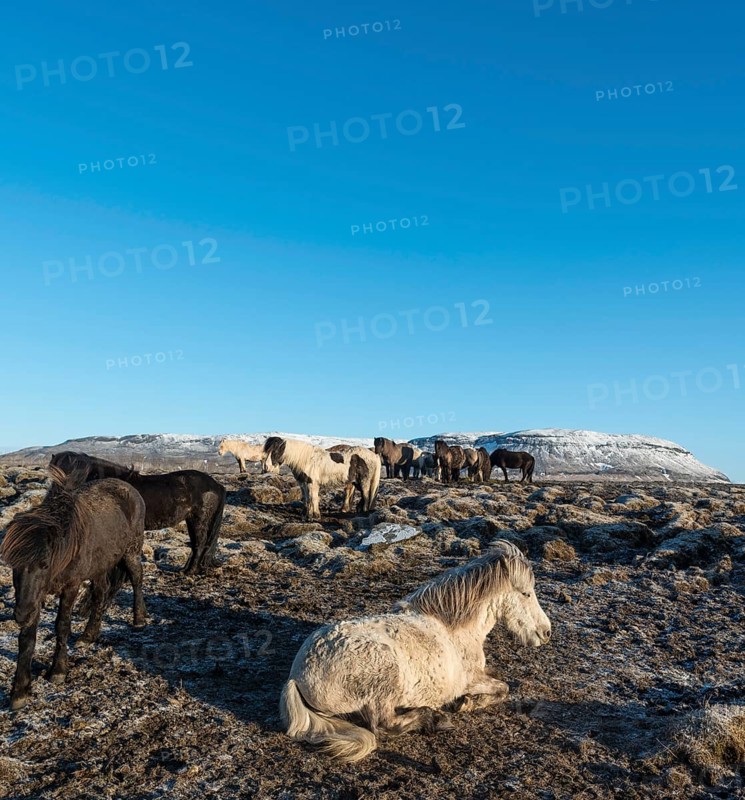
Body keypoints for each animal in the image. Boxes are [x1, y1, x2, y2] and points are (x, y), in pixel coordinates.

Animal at [1, 465, 147, 711]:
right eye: (13, 566)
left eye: (44, 564)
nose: (20, 615)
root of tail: (130, 488)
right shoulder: (34, 598)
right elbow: (27, 639)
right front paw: (20, 691)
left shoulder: (71, 586)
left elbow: (62, 625)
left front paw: (58, 671)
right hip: (100, 566)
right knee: (100, 594)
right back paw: (89, 635)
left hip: (130, 552)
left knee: (136, 578)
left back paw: (139, 618)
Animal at [49, 452, 226, 574]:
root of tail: (216, 485)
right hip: (191, 520)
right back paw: (186, 569)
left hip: (199, 520)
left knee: (200, 544)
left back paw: (190, 571)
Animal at [280, 540, 551, 762]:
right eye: (526, 593)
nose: (546, 632)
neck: (453, 627)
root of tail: (296, 676)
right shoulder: (470, 679)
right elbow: (503, 689)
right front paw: (468, 703)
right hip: (385, 679)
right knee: (383, 725)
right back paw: (435, 719)